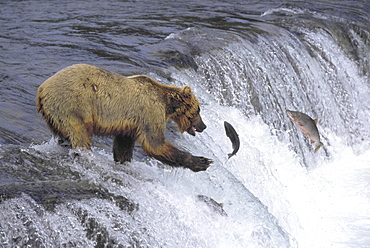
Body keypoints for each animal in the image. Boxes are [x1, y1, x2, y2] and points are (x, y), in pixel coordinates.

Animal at [36, 64, 212, 171]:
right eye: (198, 110)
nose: (204, 126)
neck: (167, 104)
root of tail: (42, 89)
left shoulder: (129, 126)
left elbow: (123, 146)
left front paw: (123, 161)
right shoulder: (150, 113)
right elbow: (155, 143)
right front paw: (202, 161)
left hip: (54, 115)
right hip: (73, 106)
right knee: (80, 133)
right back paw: (83, 154)